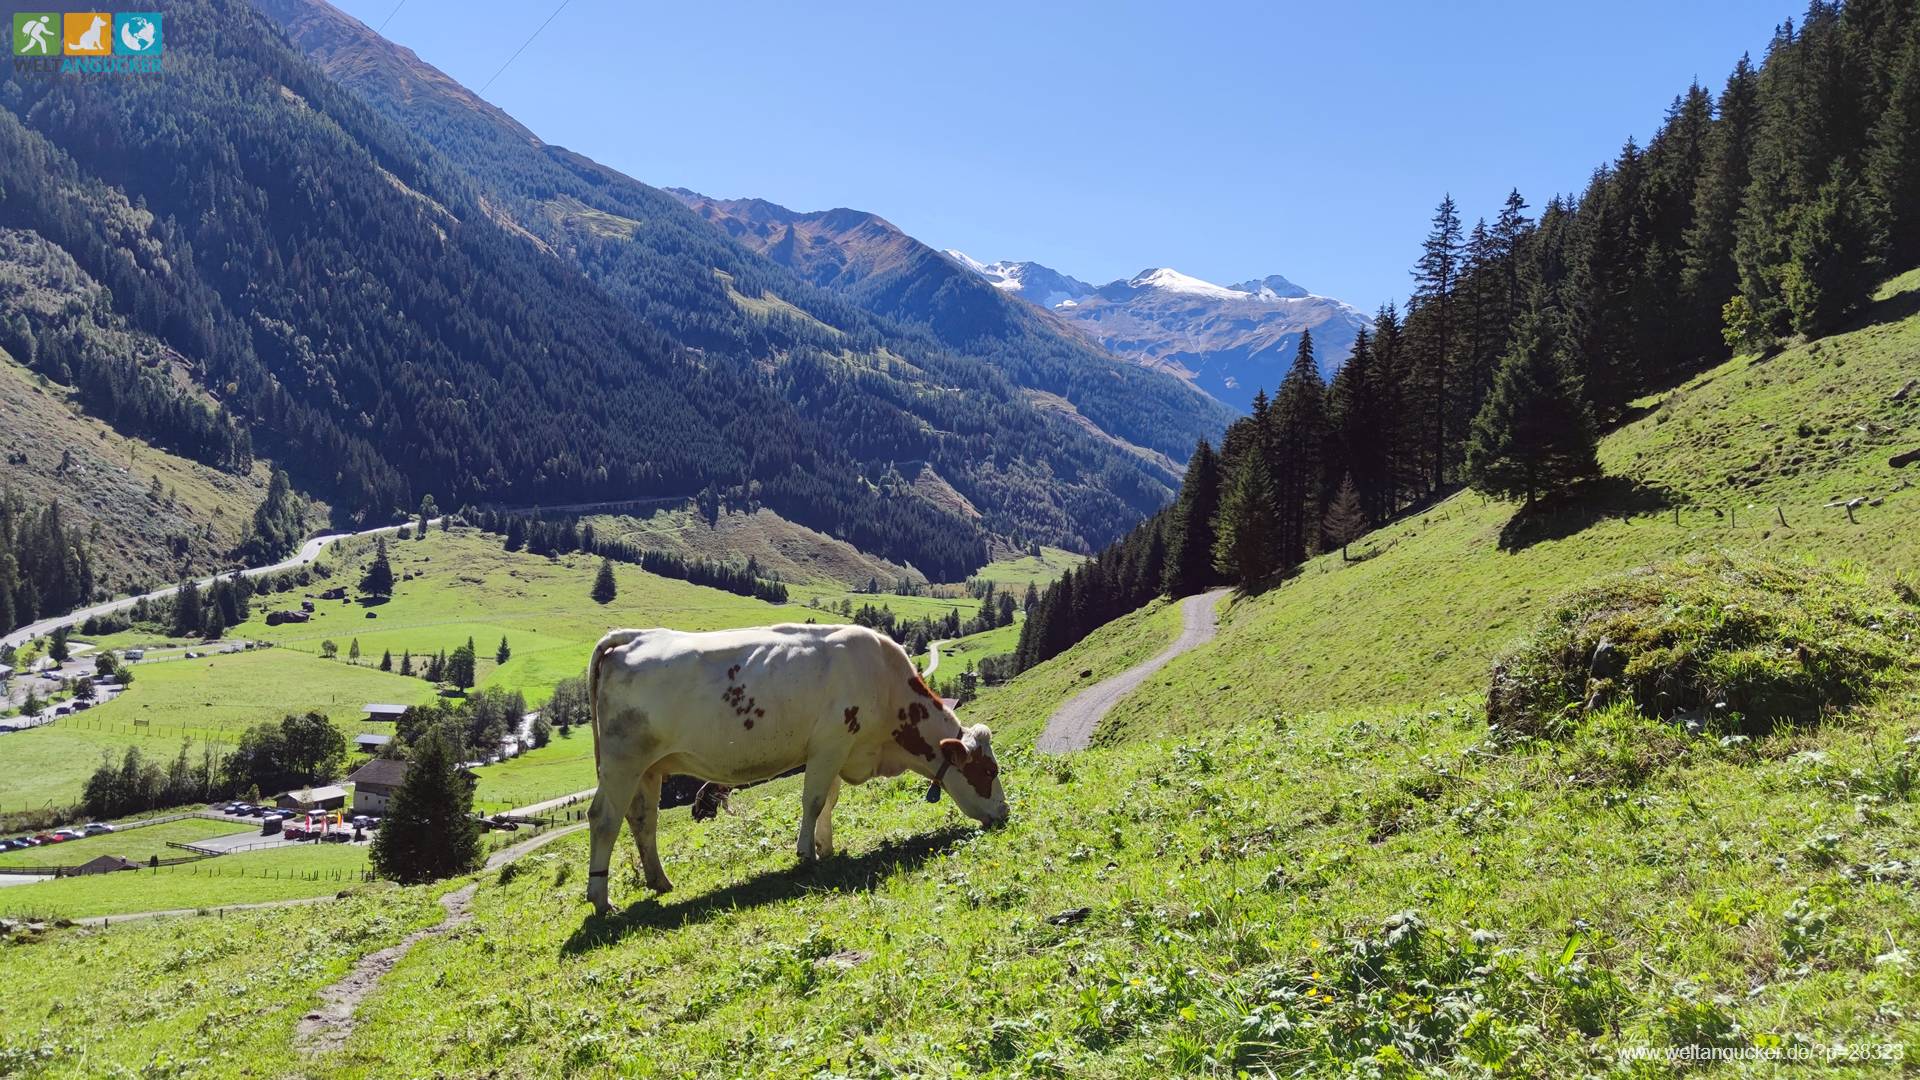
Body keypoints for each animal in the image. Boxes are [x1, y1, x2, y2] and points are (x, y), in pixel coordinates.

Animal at [583, 622, 1013, 907]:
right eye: (989, 771)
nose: (1006, 813)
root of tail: (632, 636)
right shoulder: (830, 744)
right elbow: (814, 801)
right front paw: (807, 854)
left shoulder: (838, 749)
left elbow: (830, 801)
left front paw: (826, 845)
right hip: (623, 762)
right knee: (604, 818)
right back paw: (601, 898)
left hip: (650, 768)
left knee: (642, 820)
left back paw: (659, 881)